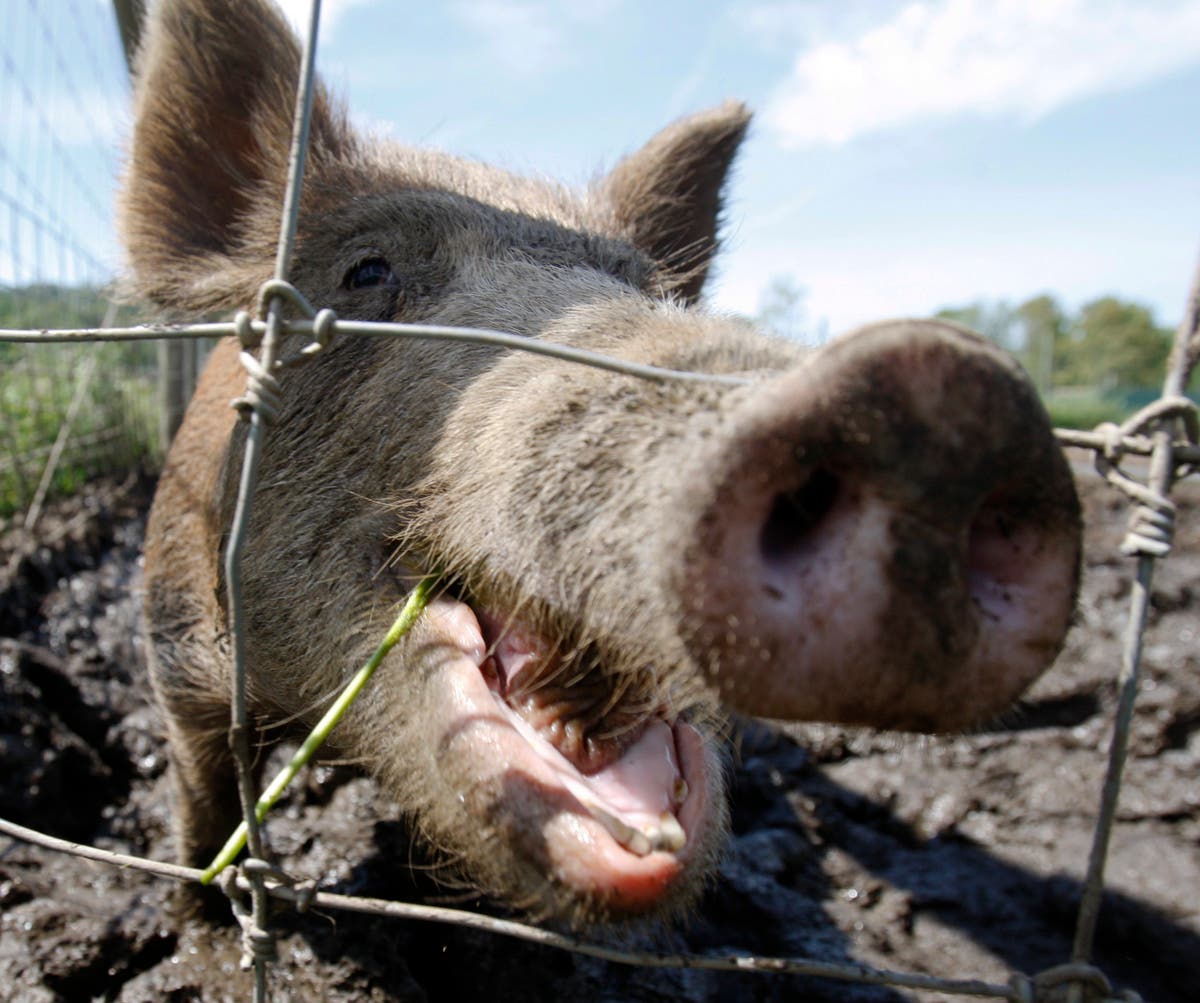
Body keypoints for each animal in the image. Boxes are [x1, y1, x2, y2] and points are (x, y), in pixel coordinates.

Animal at [124, 0, 1089, 926]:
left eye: (645, 286)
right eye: (366, 271)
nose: (934, 389)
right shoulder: (172, 652)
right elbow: (204, 794)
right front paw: (196, 910)